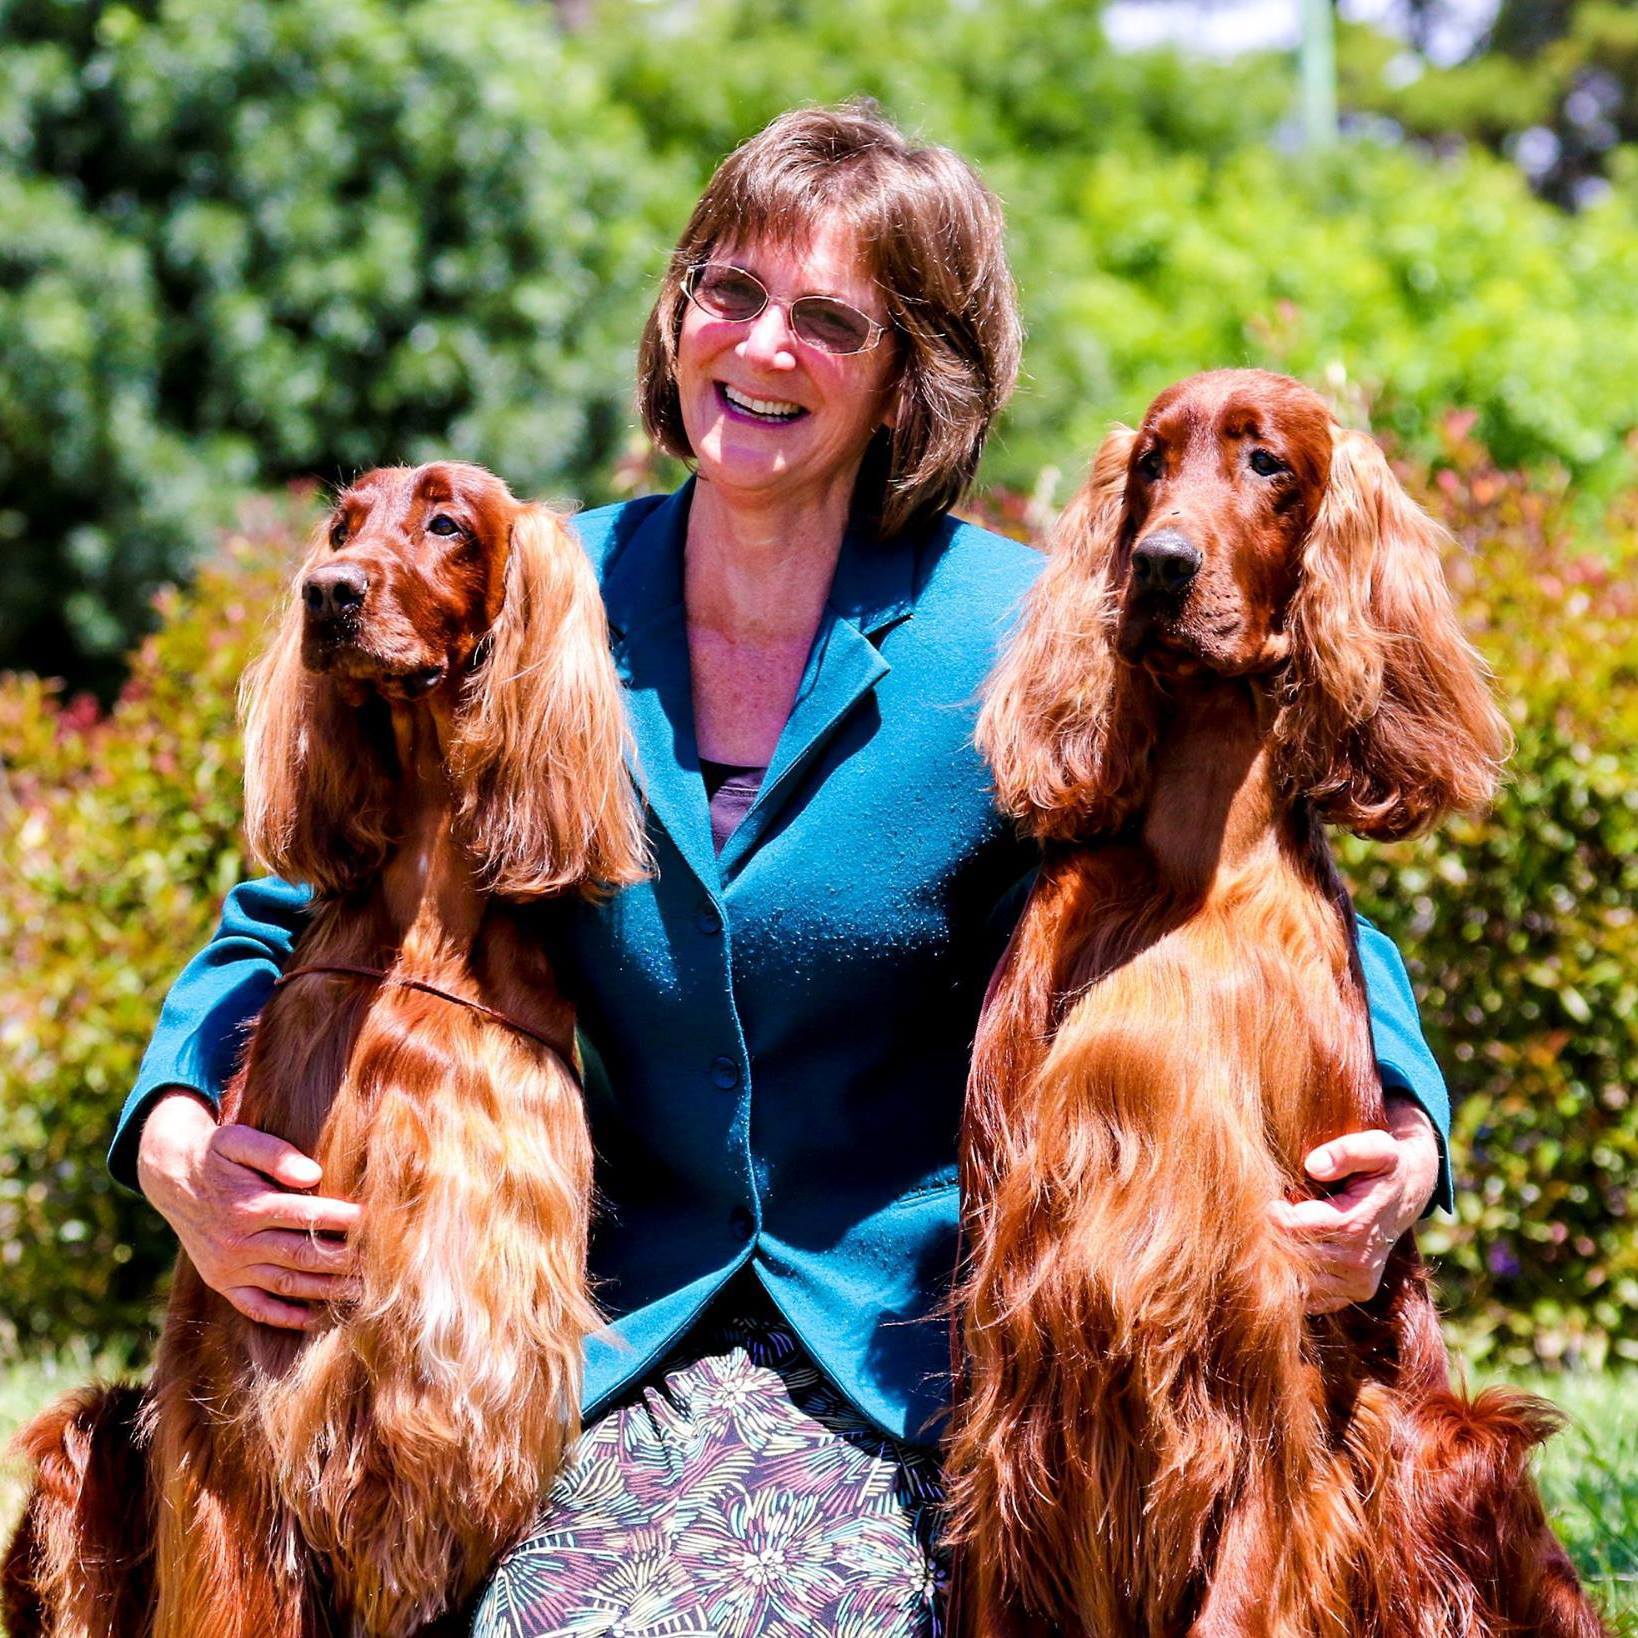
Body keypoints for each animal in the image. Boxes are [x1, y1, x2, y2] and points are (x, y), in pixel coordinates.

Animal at [4, 461, 645, 1638]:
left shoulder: (461, 1401)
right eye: (344, 526)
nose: (327, 593)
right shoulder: (249, 1384)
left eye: (446, 522)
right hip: (91, 1441)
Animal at [943, 371, 1605, 1638]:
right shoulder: (1012, 1318)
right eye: (1152, 462)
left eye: (1268, 465)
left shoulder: (1257, 1336)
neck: (1194, 867)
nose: (1159, 564)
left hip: (1451, 1445)